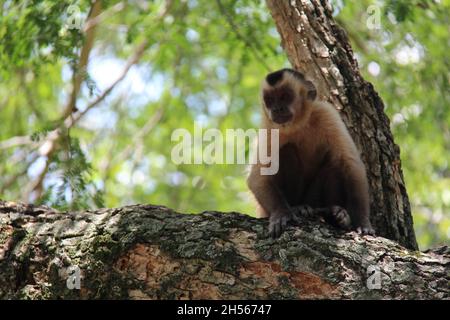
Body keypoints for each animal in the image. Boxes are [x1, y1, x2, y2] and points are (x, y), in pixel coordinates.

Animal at [248, 68, 374, 238]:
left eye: (284, 96)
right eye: (270, 100)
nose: (276, 109)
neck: (298, 124)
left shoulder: (326, 114)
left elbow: (352, 165)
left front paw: (361, 221)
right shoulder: (269, 128)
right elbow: (257, 177)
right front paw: (281, 213)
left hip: (313, 199)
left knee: (335, 163)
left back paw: (334, 214)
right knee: (286, 151)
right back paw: (298, 208)